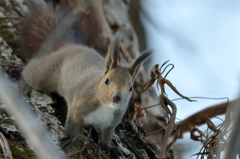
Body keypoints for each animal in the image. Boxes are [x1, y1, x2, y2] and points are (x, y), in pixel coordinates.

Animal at [20, 1, 152, 158]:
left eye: (131, 88)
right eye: (107, 80)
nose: (117, 97)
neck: (105, 106)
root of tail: (69, 46)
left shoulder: (111, 123)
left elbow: (106, 137)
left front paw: (110, 148)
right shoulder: (78, 108)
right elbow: (72, 125)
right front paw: (69, 138)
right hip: (44, 75)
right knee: (30, 72)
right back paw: (15, 71)